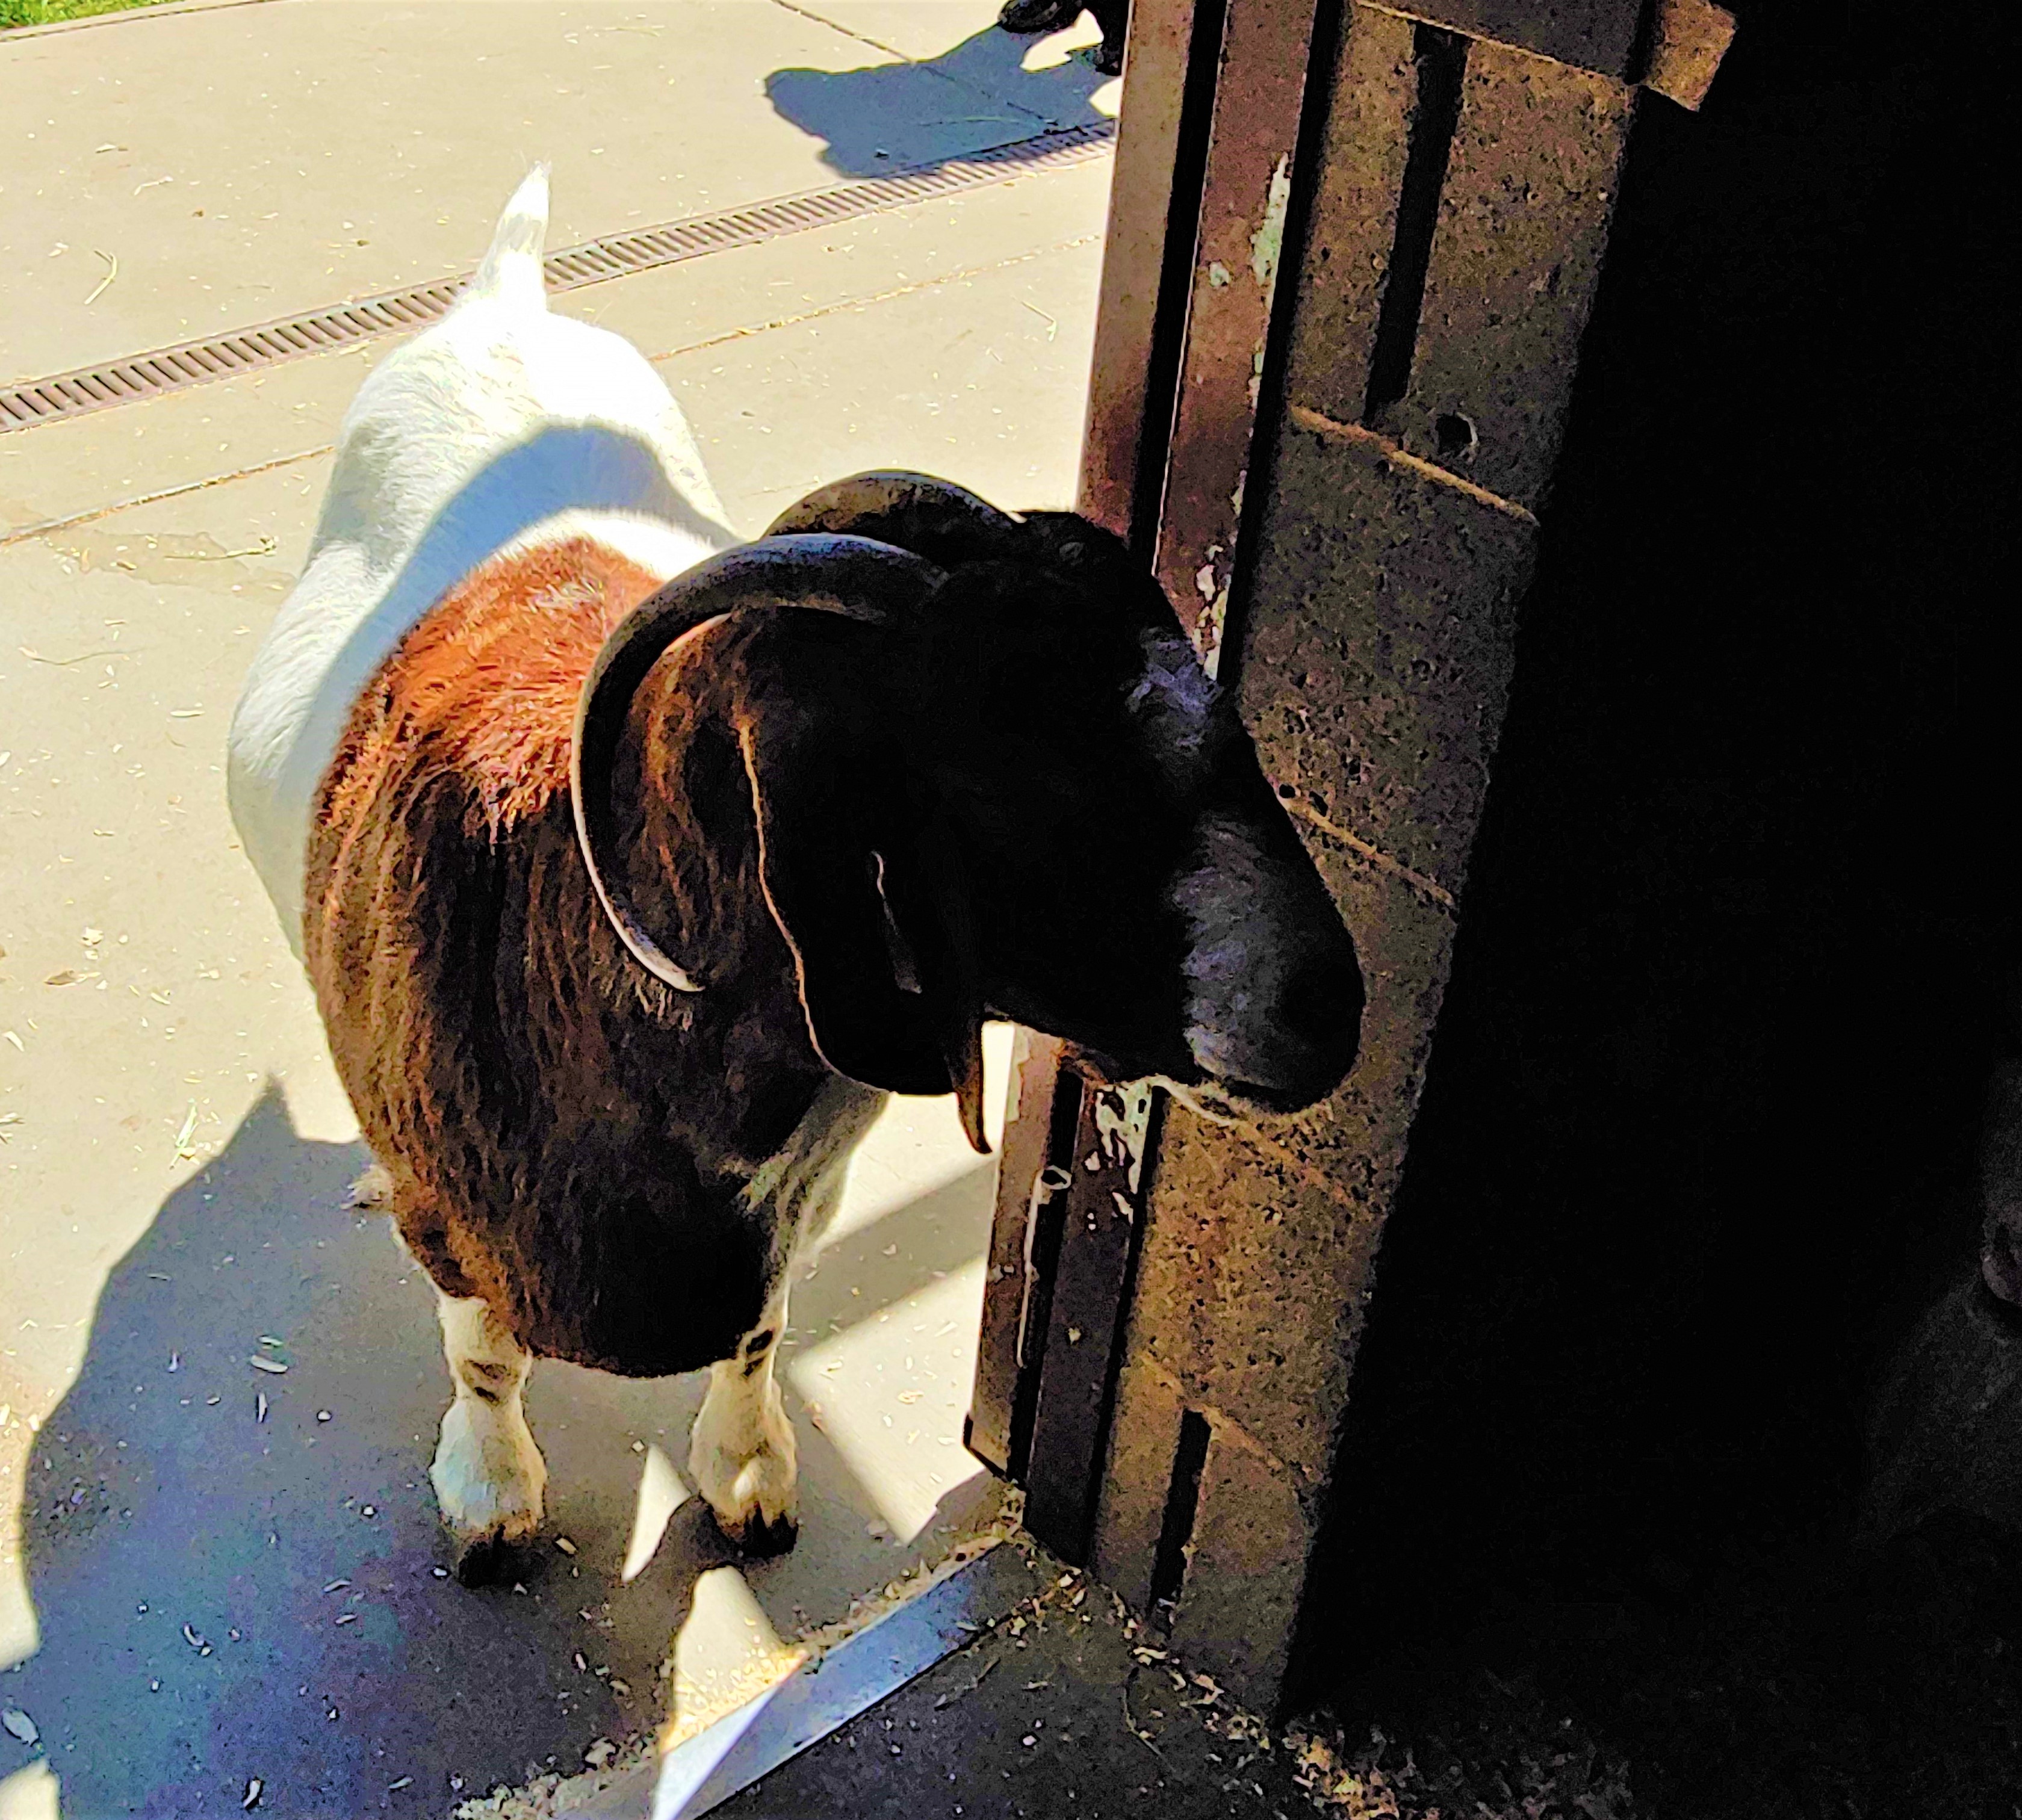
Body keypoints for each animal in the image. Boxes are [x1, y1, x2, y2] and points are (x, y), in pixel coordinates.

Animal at [227, 170, 1364, 1578]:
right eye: (996, 760)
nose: (1322, 1002)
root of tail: (506, 300)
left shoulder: (798, 1208)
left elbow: (762, 1332)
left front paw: (747, 1478)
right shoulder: (454, 1223)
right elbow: (485, 1354)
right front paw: (490, 1501)